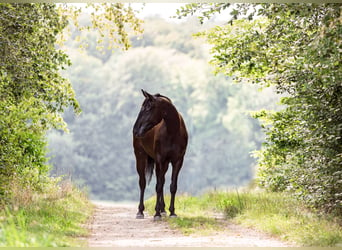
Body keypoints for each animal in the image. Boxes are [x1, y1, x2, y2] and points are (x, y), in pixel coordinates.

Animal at [133, 89, 187, 220]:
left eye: (148, 108)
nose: (135, 130)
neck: (173, 132)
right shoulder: (160, 160)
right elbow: (158, 186)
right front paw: (156, 213)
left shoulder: (178, 161)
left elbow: (172, 186)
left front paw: (172, 212)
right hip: (140, 157)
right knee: (143, 182)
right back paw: (140, 211)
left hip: (165, 164)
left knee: (162, 181)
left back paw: (163, 210)